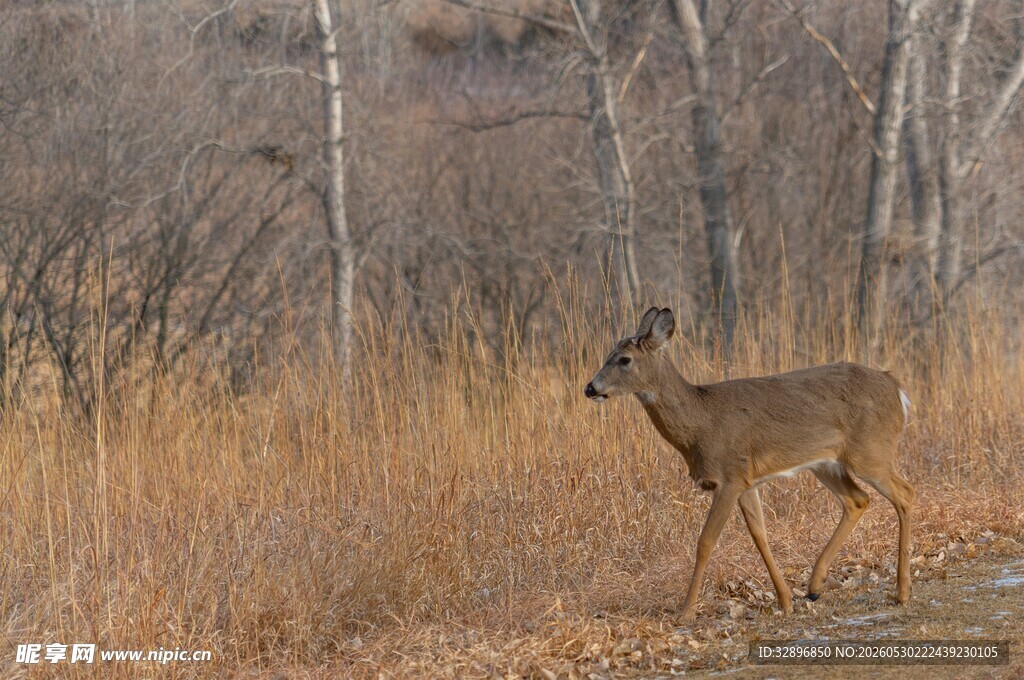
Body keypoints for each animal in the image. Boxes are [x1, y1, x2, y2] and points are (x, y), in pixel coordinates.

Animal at [584, 307, 915, 620]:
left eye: (624, 359)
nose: (590, 388)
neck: (700, 424)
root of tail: (896, 388)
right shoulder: (747, 480)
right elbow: (760, 535)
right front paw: (785, 601)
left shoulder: (729, 477)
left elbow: (705, 542)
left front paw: (686, 611)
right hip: (827, 462)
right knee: (858, 499)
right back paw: (815, 586)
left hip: (871, 450)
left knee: (905, 493)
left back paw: (901, 592)